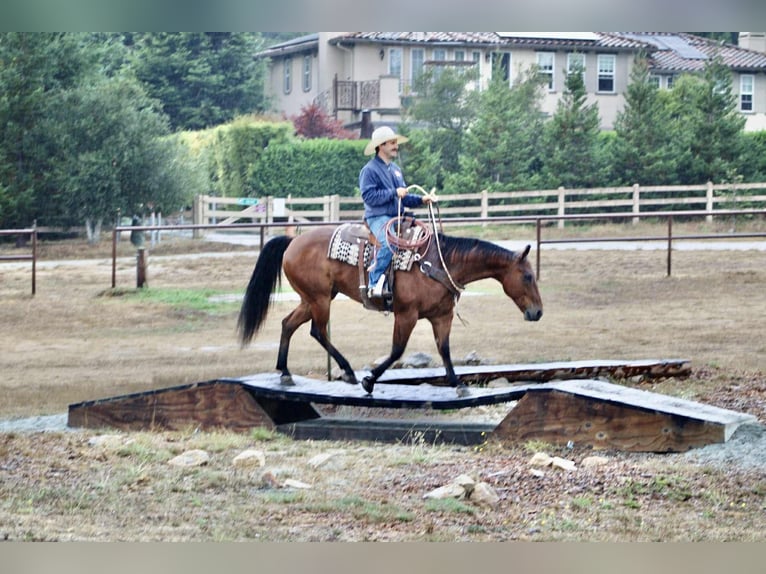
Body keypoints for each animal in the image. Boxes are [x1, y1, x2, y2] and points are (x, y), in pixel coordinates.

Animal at [237, 223, 543, 397]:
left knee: (288, 324)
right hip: (320, 299)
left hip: (311, 299)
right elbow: (397, 350)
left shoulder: (441, 317)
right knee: (318, 331)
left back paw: (285, 372)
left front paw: (458, 383)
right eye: (528, 276)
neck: (440, 263)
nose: (538, 312)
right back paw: (348, 371)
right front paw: (369, 380)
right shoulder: (406, 314)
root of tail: (293, 242)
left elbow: (444, 349)